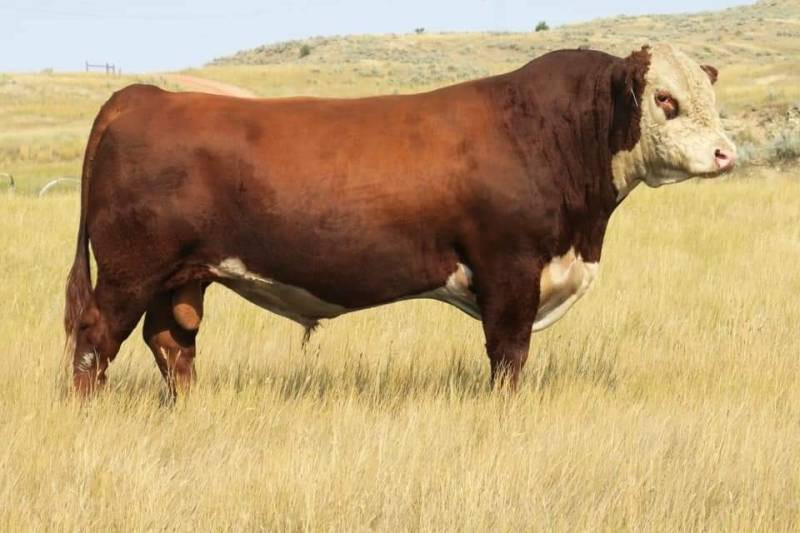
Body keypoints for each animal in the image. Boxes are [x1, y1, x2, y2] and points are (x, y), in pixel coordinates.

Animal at [64, 43, 736, 397]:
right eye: (665, 100)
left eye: (709, 97)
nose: (726, 153)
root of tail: (143, 95)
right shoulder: (510, 270)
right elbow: (508, 357)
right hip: (129, 270)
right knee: (95, 338)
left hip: (181, 275)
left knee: (170, 340)